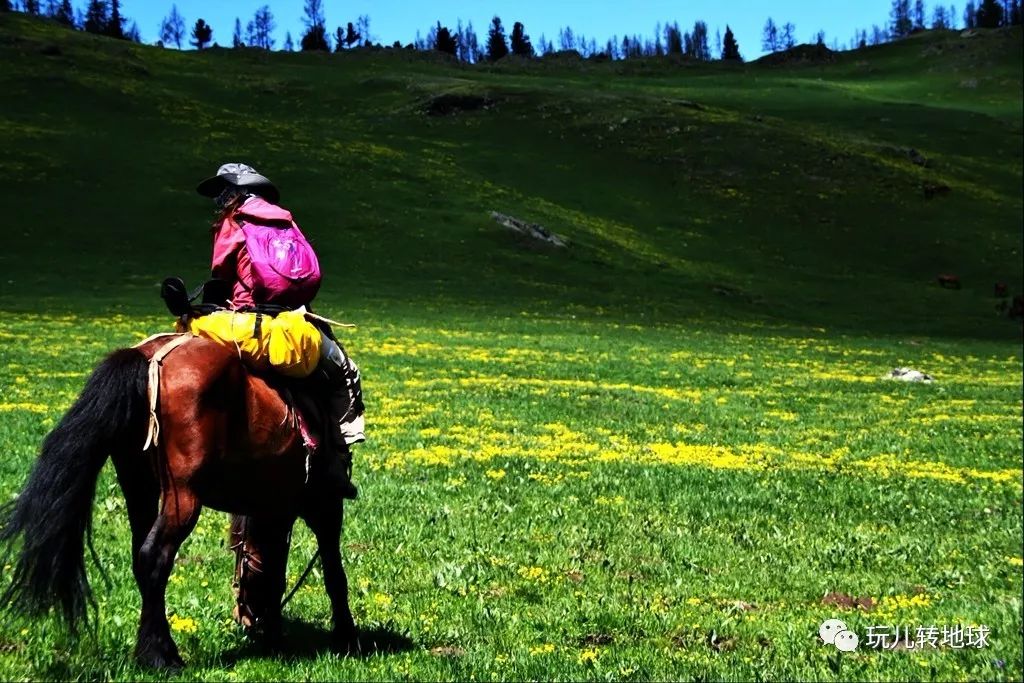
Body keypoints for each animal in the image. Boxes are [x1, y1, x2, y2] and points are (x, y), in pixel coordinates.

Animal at [0, 333, 358, 671]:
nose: (248, 623)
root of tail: (146, 357)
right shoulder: (323, 507)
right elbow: (331, 572)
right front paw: (345, 638)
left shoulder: (274, 508)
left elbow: (278, 568)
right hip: (183, 496)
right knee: (155, 556)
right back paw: (161, 655)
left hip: (139, 486)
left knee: (140, 556)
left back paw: (151, 649)